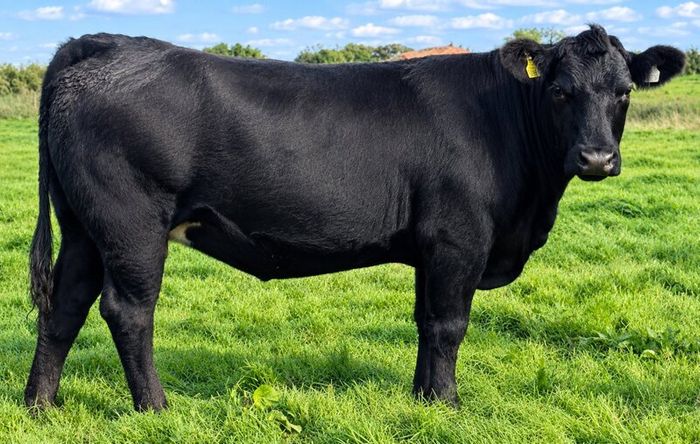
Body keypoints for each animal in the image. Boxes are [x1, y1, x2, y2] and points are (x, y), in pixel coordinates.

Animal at [25, 25, 685, 412]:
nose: (597, 158)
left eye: (625, 91)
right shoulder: (459, 238)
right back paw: (156, 408)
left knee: (65, 305)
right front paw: (448, 405)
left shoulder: (431, 247)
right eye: (559, 90)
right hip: (131, 221)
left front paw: (422, 400)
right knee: (128, 310)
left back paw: (40, 404)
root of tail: (102, 43)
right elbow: (449, 324)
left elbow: (425, 321)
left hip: (84, 226)